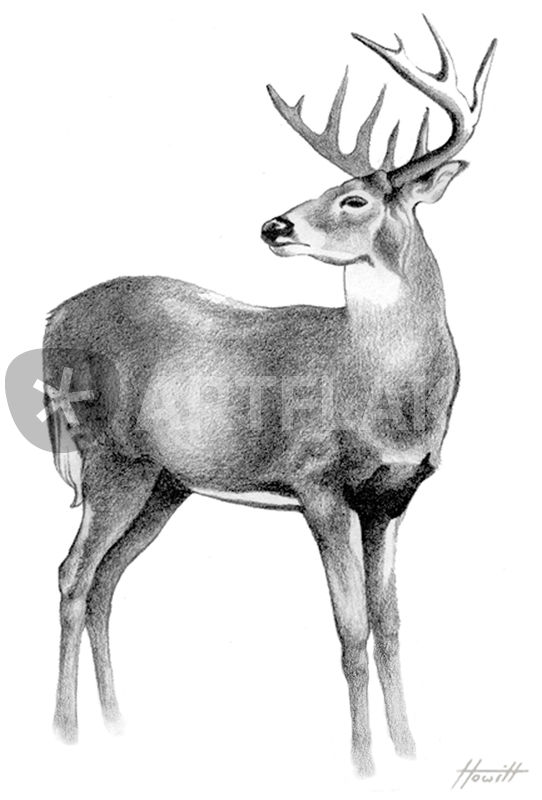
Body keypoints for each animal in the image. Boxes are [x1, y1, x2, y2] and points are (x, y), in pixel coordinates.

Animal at [43, 17, 495, 776]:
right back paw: (66, 731)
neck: (378, 385)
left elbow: (391, 624)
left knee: (105, 580)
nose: (274, 226)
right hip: (111, 458)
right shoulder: (318, 484)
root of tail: (49, 319)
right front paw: (363, 763)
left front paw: (409, 752)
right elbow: (351, 629)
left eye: (353, 198)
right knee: (72, 575)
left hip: (166, 483)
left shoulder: (393, 498)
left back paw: (115, 727)